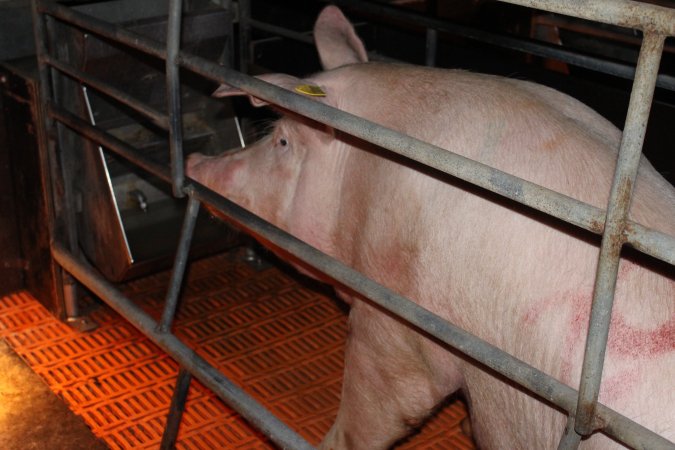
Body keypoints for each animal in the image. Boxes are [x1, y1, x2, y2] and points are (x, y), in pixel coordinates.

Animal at [186, 6, 675, 450]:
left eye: (283, 140)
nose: (193, 163)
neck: (361, 166)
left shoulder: (395, 307)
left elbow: (385, 401)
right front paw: (464, 427)